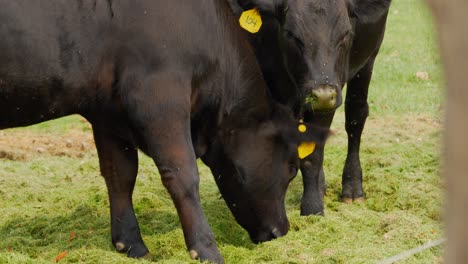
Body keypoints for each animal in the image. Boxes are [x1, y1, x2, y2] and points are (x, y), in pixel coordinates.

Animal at [0, 1, 330, 262]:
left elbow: (120, 175)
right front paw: (206, 250)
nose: (280, 231)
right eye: (290, 167)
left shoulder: (108, 112)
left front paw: (131, 245)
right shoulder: (160, 97)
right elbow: (183, 176)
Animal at [230, 0, 392, 214]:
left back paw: (352, 187)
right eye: (291, 34)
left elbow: (313, 156)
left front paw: (312, 208)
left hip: (368, 59)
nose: (323, 94)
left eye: (346, 33)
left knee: (355, 118)